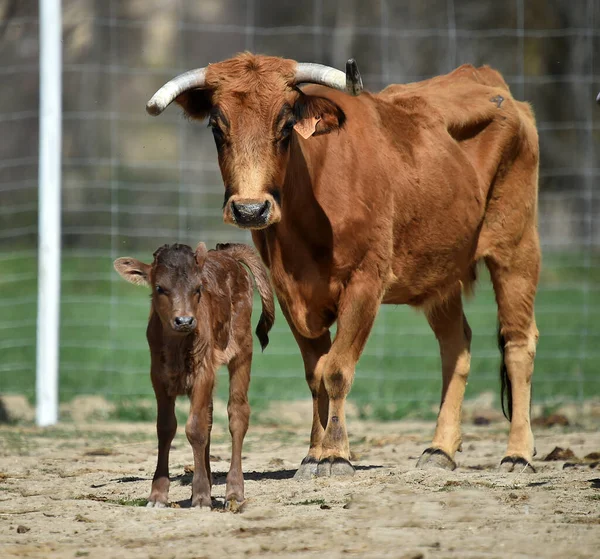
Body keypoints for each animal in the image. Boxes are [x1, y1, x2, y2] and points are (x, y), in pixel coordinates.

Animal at [113, 241, 276, 508]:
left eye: (198, 288)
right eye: (160, 288)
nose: (184, 320)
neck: (177, 346)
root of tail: (226, 253)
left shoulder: (203, 372)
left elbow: (195, 429)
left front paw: (201, 496)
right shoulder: (158, 378)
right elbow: (166, 428)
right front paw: (158, 494)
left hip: (242, 349)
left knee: (237, 414)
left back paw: (234, 490)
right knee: (209, 416)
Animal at [148, 54, 540, 480]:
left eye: (285, 126)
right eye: (218, 128)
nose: (250, 210)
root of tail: (488, 79)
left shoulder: (366, 281)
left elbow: (335, 370)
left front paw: (335, 454)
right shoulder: (288, 292)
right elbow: (315, 372)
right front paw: (313, 453)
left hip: (516, 247)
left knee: (518, 344)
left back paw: (518, 454)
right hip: (440, 271)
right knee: (456, 347)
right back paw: (440, 449)